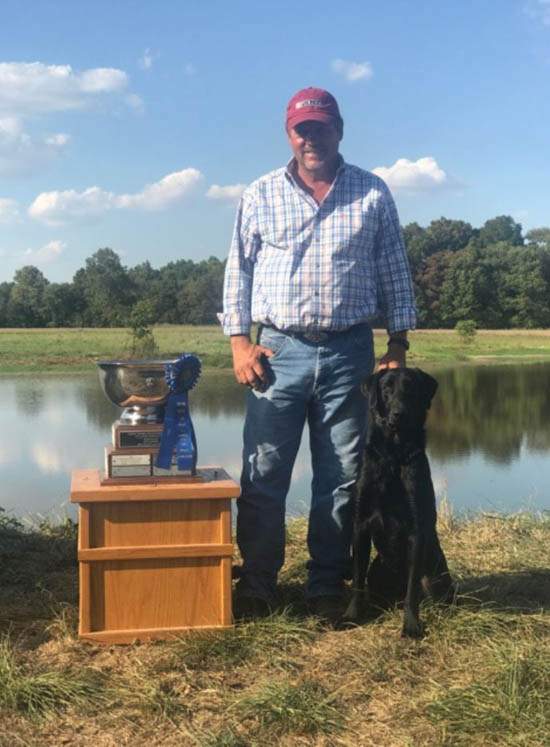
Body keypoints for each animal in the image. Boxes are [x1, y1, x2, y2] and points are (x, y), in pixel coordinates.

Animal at [344, 368, 458, 636]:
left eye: (411, 388)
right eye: (386, 389)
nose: (399, 412)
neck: (393, 456)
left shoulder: (416, 531)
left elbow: (412, 591)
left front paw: (412, 626)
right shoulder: (360, 524)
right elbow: (357, 579)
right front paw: (351, 616)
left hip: (435, 577)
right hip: (377, 572)